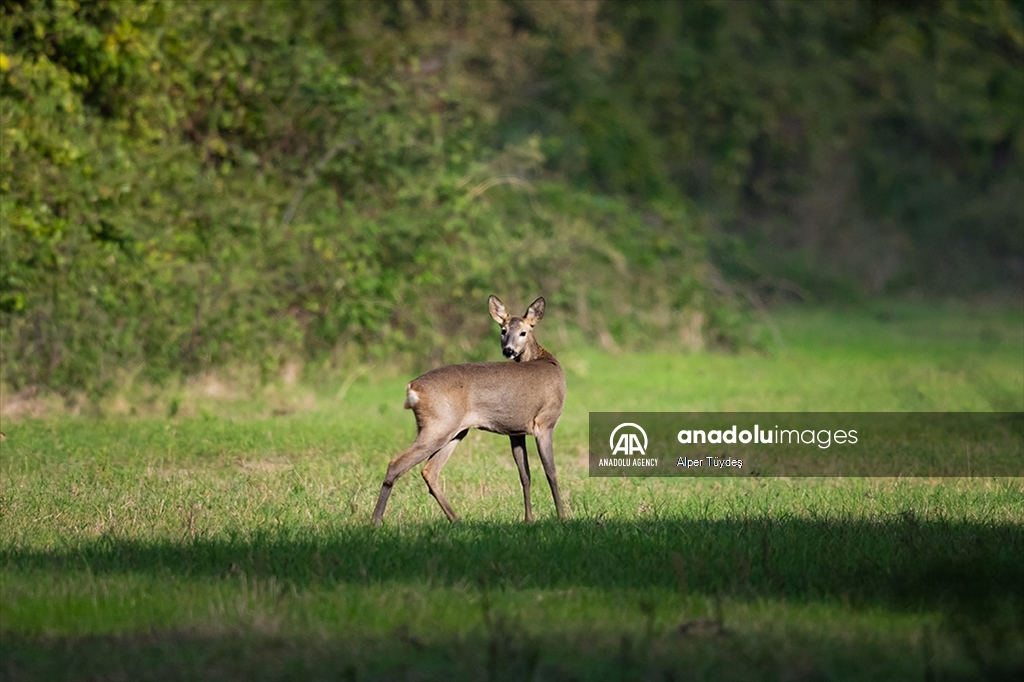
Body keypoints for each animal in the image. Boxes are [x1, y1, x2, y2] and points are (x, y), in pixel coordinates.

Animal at [372, 294, 569, 522]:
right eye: (503, 330)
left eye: (523, 331)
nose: (508, 350)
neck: (544, 358)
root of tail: (412, 388)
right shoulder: (545, 422)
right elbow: (551, 472)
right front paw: (562, 517)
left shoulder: (515, 431)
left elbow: (525, 475)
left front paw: (528, 519)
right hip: (438, 425)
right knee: (396, 464)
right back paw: (376, 521)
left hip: (454, 431)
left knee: (429, 471)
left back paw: (456, 519)